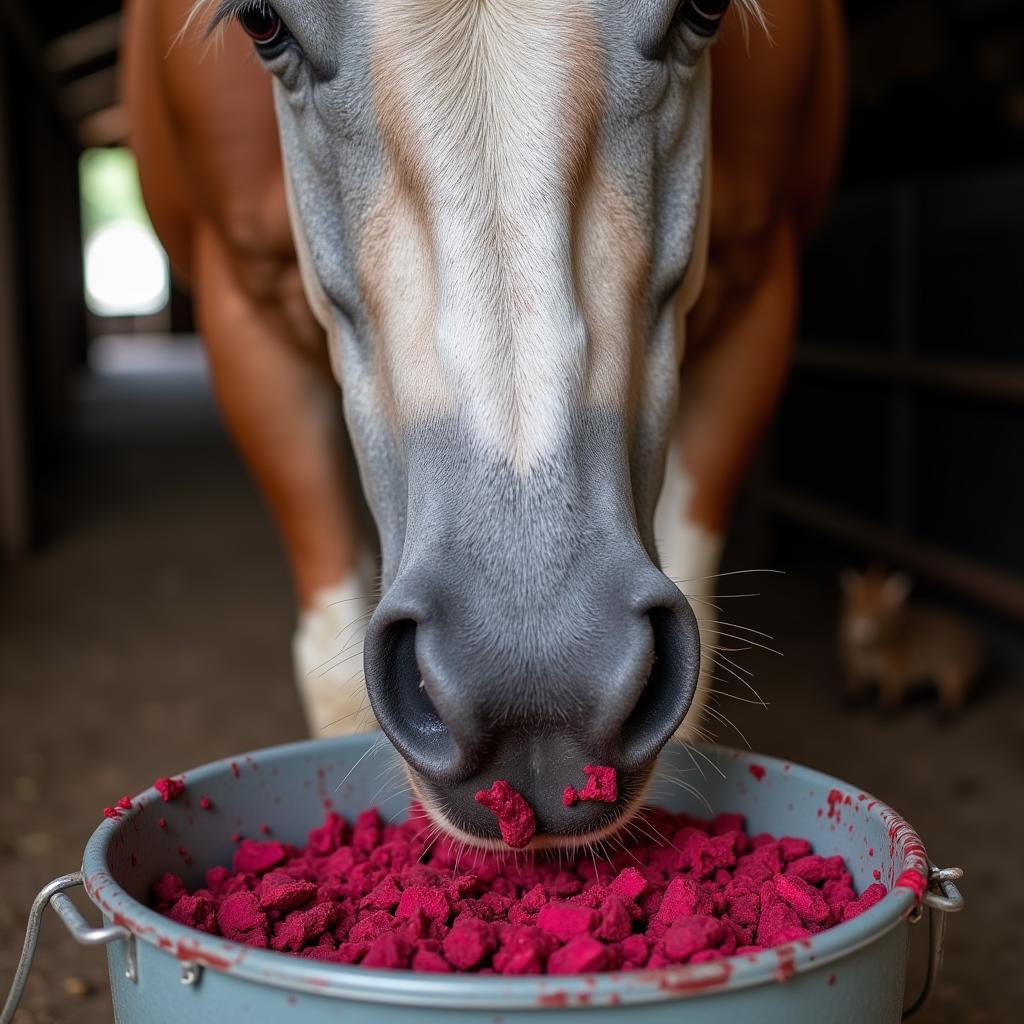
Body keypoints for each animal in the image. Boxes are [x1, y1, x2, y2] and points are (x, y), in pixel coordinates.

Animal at [121, 0, 839, 847]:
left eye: (703, 11)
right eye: (263, 25)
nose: (535, 680)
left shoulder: (759, 298)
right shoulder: (246, 322)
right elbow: (334, 675)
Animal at [839, 569, 983, 712]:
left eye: (881, 614)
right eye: (855, 607)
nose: (862, 627)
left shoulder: (896, 667)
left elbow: (891, 691)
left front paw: (887, 709)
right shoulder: (854, 667)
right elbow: (855, 685)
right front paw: (851, 700)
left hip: (951, 668)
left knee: (953, 692)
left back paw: (944, 711)